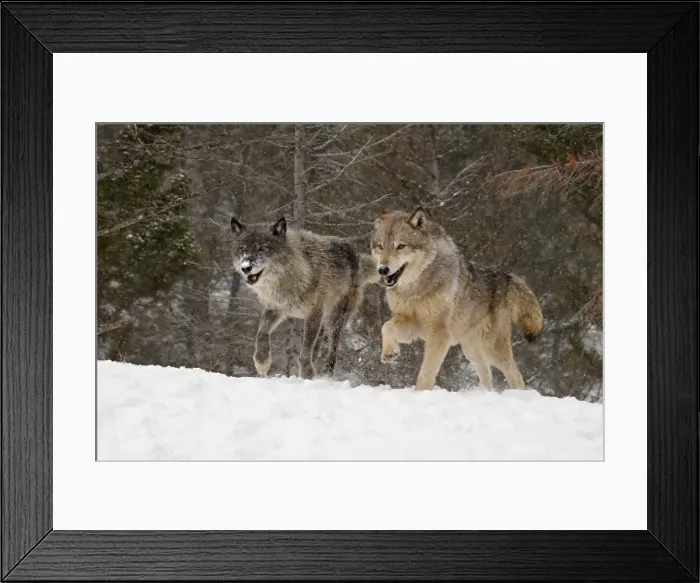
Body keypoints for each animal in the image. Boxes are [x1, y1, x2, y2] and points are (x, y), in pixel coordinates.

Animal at [230, 215, 378, 380]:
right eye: (242, 249)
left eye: (263, 248)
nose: (246, 267)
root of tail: (358, 256)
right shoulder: (275, 309)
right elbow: (261, 335)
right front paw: (262, 362)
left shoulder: (313, 314)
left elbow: (305, 351)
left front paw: (307, 373)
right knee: (321, 336)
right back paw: (316, 354)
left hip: (336, 317)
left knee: (332, 348)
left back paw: (327, 373)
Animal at [371, 207, 543, 391]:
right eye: (381, 247)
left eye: (401, 246)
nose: (382, 269)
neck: (416, 288)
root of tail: (507, 276)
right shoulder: (408, 321)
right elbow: (386, 327)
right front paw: (389, 352)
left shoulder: (439, 333)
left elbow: (426, 372)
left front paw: (420, 392)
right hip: (471, 350)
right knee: (486, 373)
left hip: (491, 348)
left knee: (516, 375)